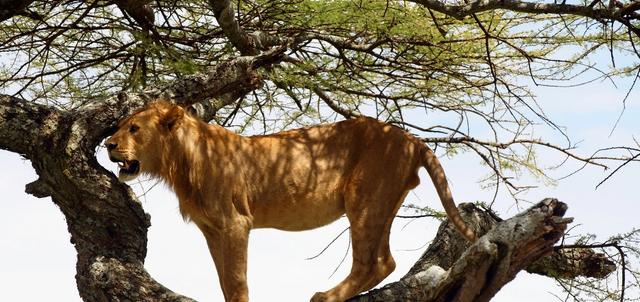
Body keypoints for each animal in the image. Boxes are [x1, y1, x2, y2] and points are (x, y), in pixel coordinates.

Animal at [106, 101, 476, 302]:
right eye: (120, 126)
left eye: (134, 128)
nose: (108, 144)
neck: (181, 162)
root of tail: (411, 138)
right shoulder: (212, 230)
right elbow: (224, 278)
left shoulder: (236, 222)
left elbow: (237, 279)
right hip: (382, 202)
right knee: (385, 261)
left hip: (364, 198)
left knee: (371, 262)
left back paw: (325, 296)